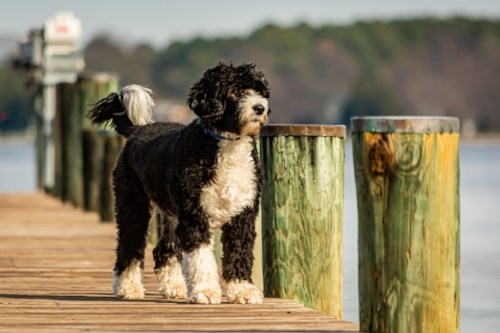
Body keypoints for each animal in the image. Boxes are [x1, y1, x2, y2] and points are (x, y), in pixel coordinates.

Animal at [88, 61, 272, 304]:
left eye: (259, 91)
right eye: (235, 90)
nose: (260, 108)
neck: (225, 143)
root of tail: (137, 130)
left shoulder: (243, 214)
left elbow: (239, 251)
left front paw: (242, 290)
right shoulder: (195, 215)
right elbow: (201, 258)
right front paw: (205, 291)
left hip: (172, 215)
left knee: (163, 249)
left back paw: (172, 287)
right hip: (133, 203)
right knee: (130, 245)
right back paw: (128, 287)